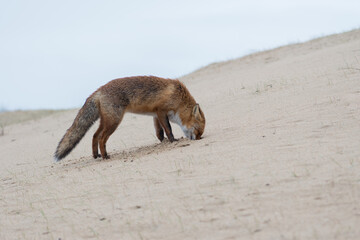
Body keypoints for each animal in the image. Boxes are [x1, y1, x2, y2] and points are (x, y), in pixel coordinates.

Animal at [53, 75, 205, 161]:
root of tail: (99, 90)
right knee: (102, 138)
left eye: (200, 133)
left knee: (95, 135)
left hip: (106, 121)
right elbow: (168, 129)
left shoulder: (155, 114)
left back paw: (96, 155)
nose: (198, 139)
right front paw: (173, 140)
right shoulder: (161, 111)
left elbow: (159, 131)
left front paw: (163, 141)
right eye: (197, 130)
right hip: (114, 122)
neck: (179, 97)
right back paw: (105, 156)